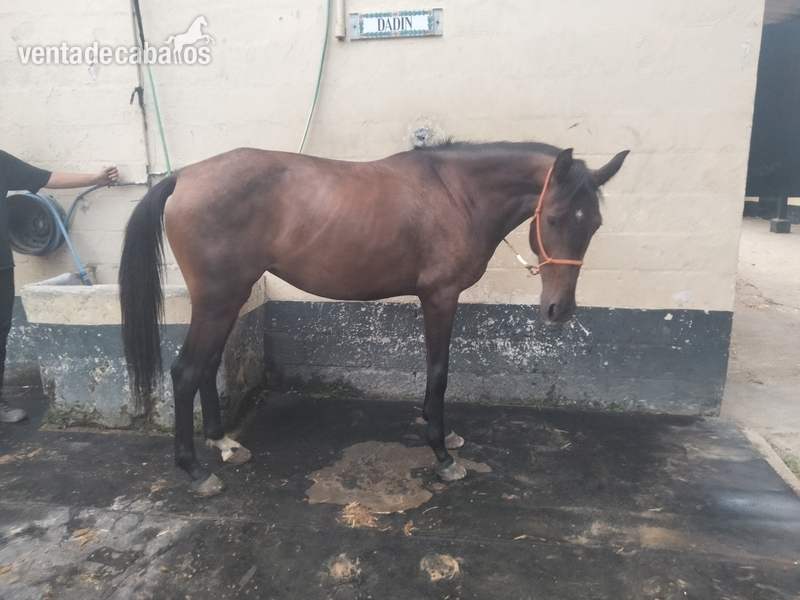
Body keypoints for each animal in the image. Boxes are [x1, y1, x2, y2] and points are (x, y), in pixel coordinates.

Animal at [119, 141, 628, 497]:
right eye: (555, 219)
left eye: (594, 224)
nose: (559, 310)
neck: (456, 193)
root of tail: (183, 177)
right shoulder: (439, 297)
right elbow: (438, 373)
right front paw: (442, 453)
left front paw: (444, 434)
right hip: (219, 299)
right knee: (185, 372)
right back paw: (195, 471)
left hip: (228, 299)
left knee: (207, 366)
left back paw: (222, 443)